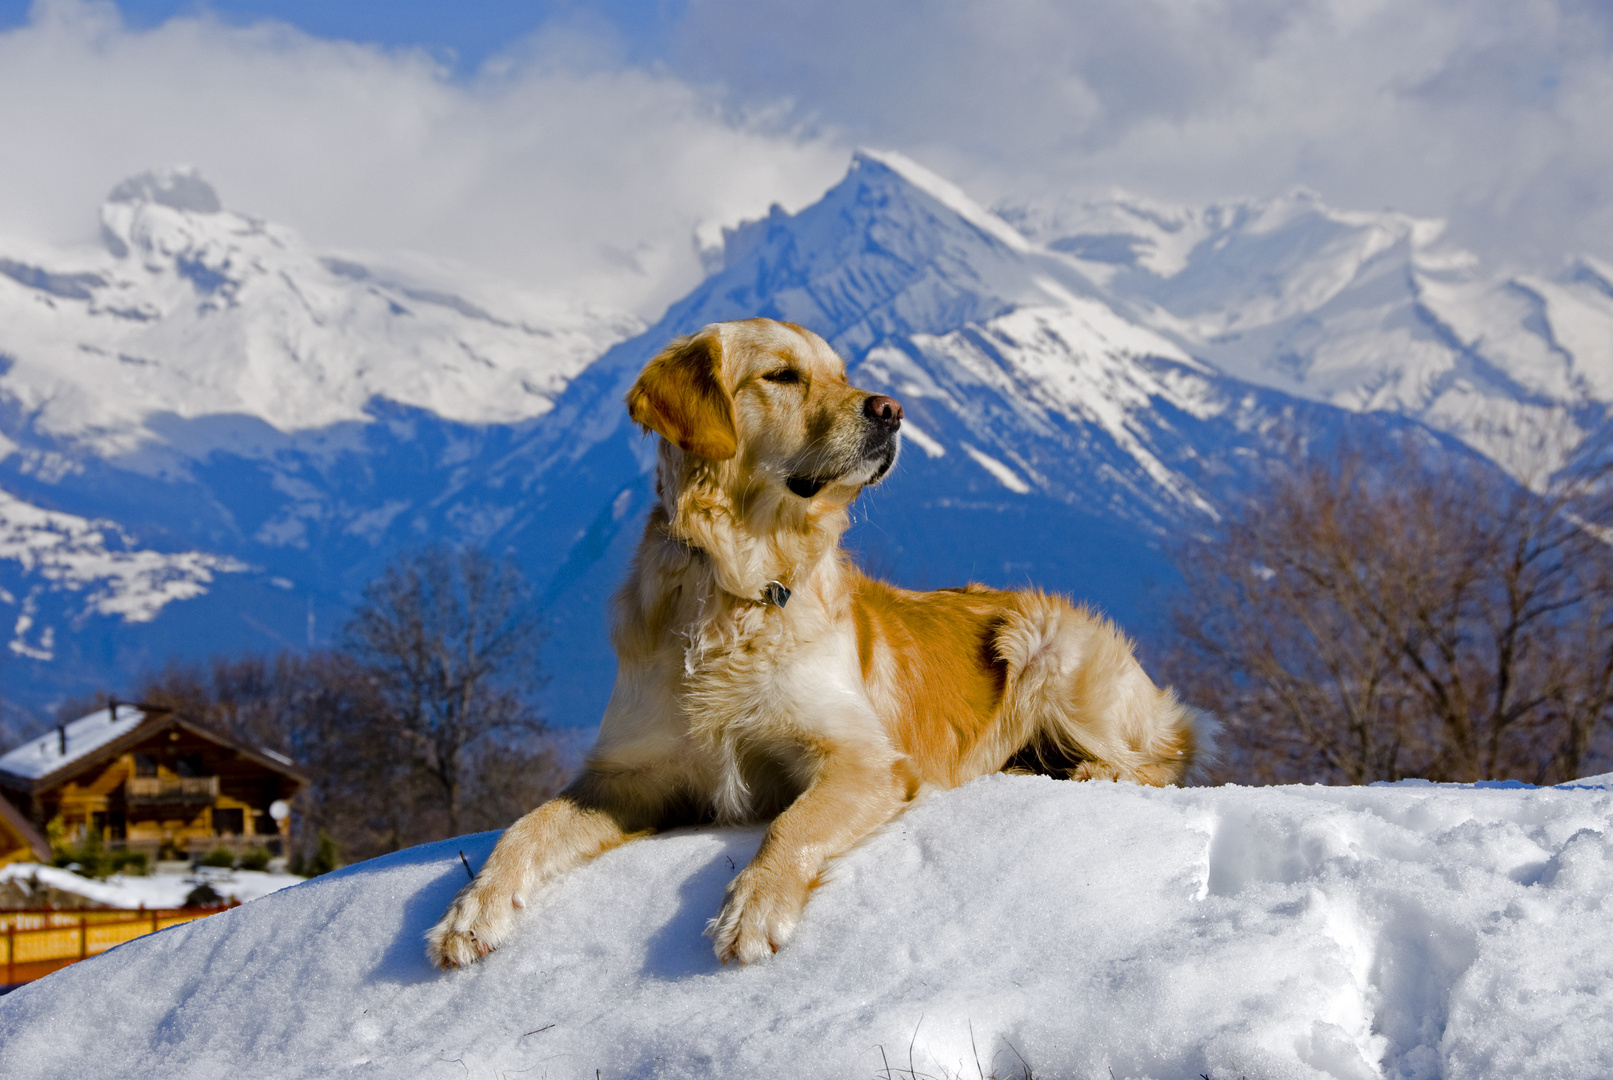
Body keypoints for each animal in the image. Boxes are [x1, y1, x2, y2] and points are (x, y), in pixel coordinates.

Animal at [425, 317, 1200, 967]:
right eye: (782, 375)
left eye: (841, 372)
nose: (891, 408)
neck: (734, 588)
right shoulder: (625, 775)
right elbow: (528, 824)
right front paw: (472, 909)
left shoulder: (862, 758)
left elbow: (791, 825)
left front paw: (754, 906)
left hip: (1044, 644)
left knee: (1160, 758)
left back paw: (1088, 771)